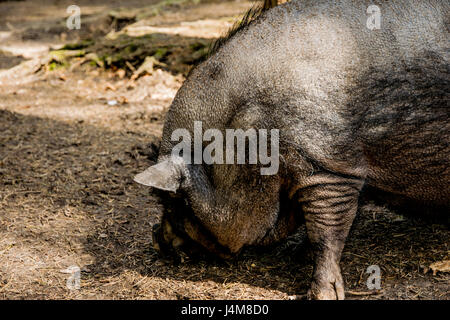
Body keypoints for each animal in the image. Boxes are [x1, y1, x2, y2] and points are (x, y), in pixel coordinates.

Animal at [134, 0, 450, 300]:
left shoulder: (329, 169)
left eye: (177, 201)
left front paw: (321, 294)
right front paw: (298, 256)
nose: (155, 238)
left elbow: (326, 233)